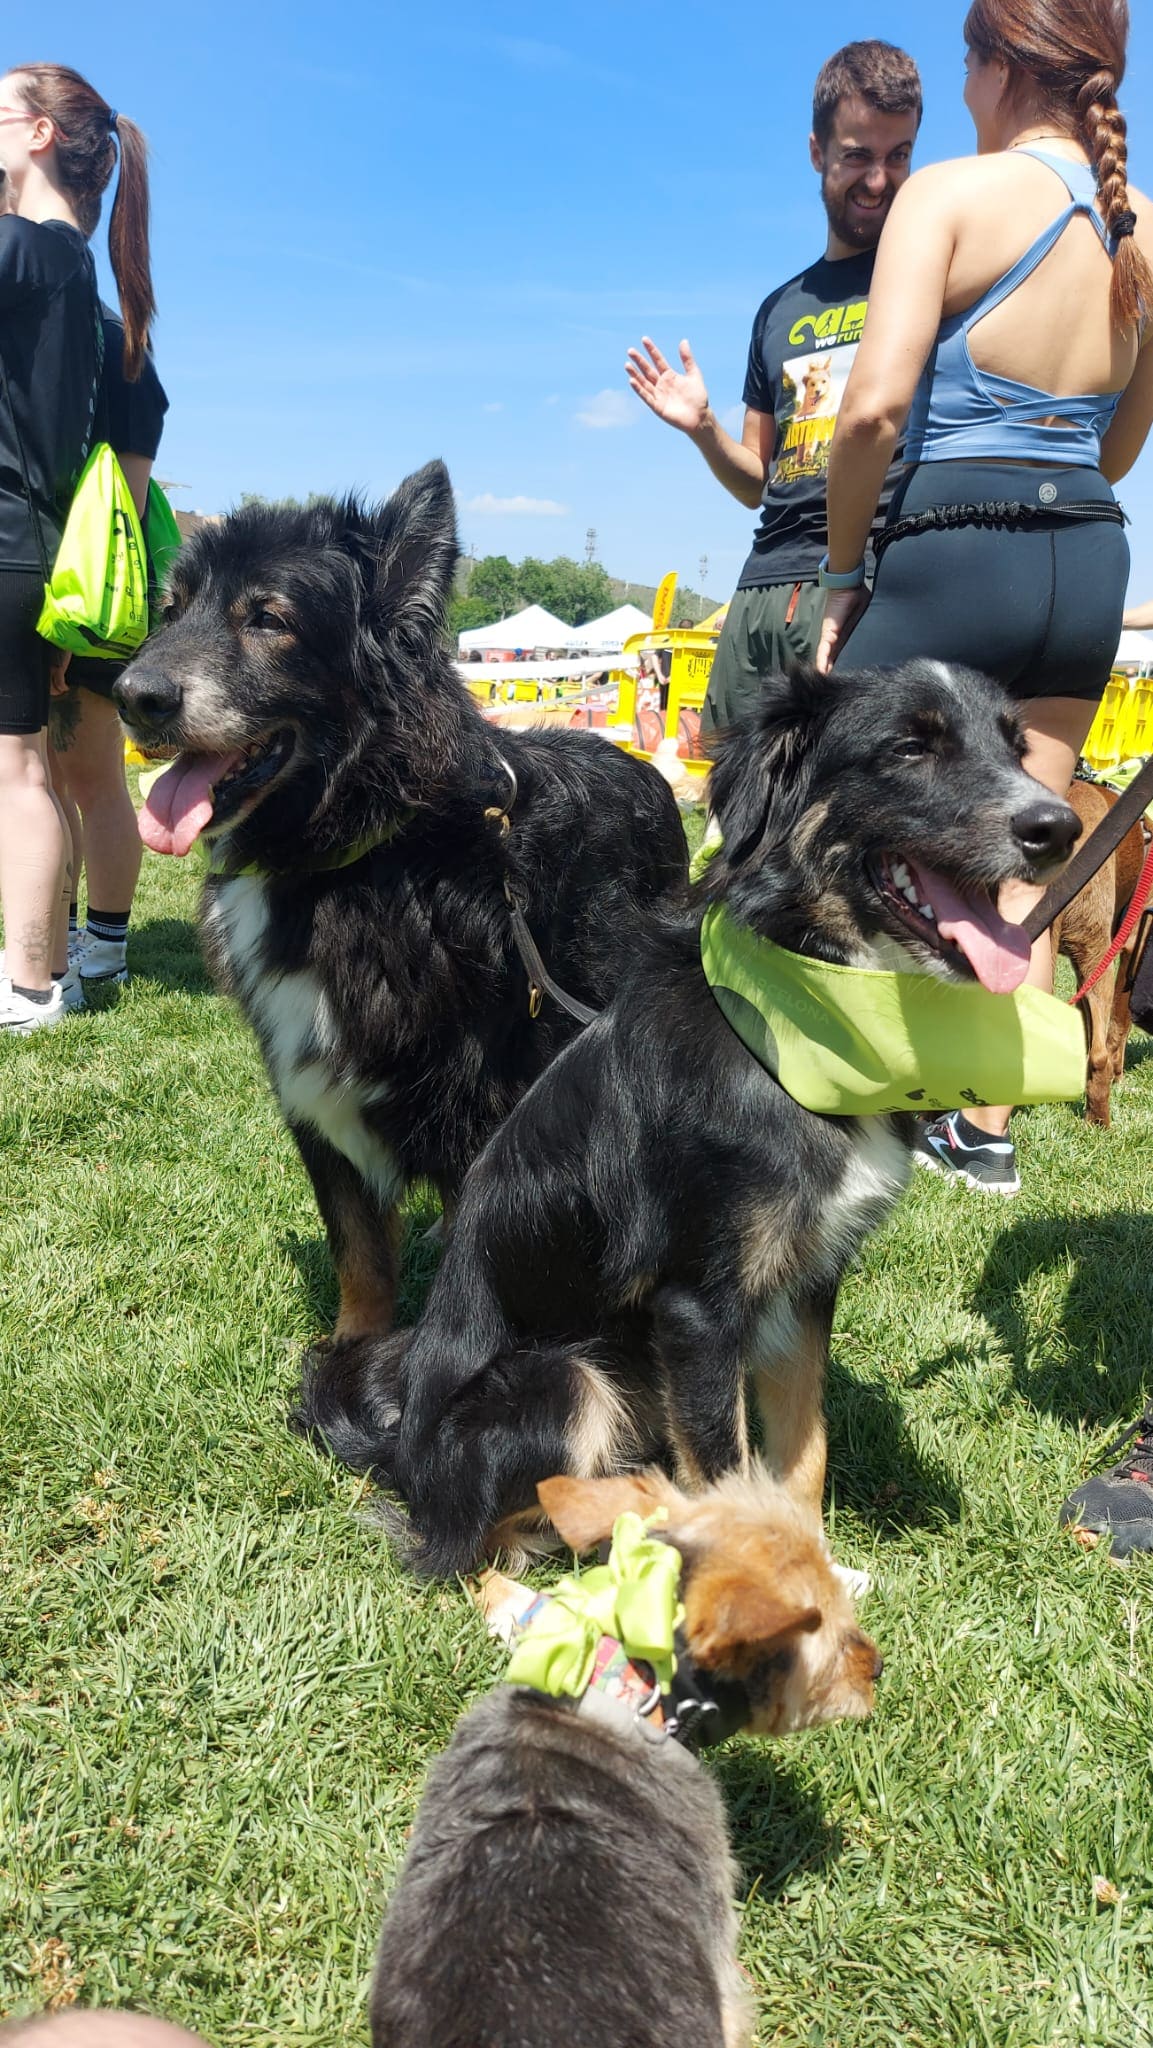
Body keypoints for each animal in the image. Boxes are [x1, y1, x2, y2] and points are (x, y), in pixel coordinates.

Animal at [116, 468, 684, 1359]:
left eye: (268, 618)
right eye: (169, 610)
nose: (131, 697)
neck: (350, 859)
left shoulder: (481, 1103)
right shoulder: (314, 1100)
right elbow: (358, 1252)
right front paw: (353, 1349)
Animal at [296, 655, 1081, 1564]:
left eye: (1016, 746)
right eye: (908, 748)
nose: (1057, 829)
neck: (794, 1024)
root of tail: (401, 1458)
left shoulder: (806, 1281)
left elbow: (802, 1449)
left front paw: (807, 1562)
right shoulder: (697, 1304)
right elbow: (724, 1462)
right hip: (565, 1377)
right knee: (485, 1541)